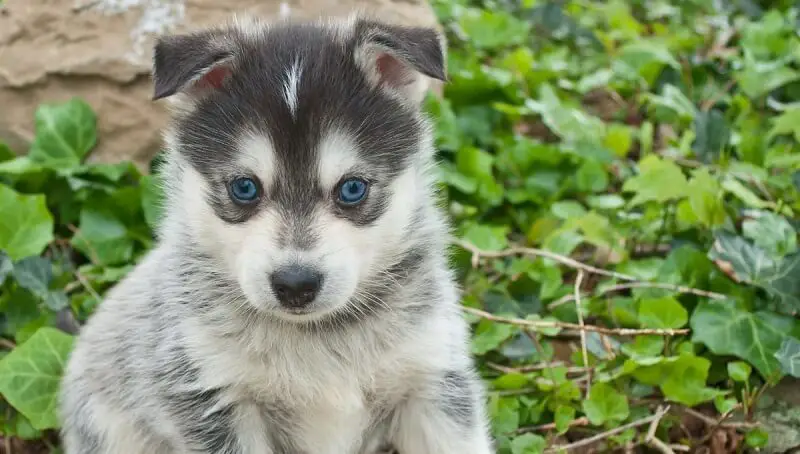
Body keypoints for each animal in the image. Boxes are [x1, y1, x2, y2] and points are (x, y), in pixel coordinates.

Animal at [57, 14, 494, 454]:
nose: (296, 284)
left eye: (353, 188)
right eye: (244, 187)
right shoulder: (212, 394)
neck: (318, 337)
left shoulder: (433, 378)